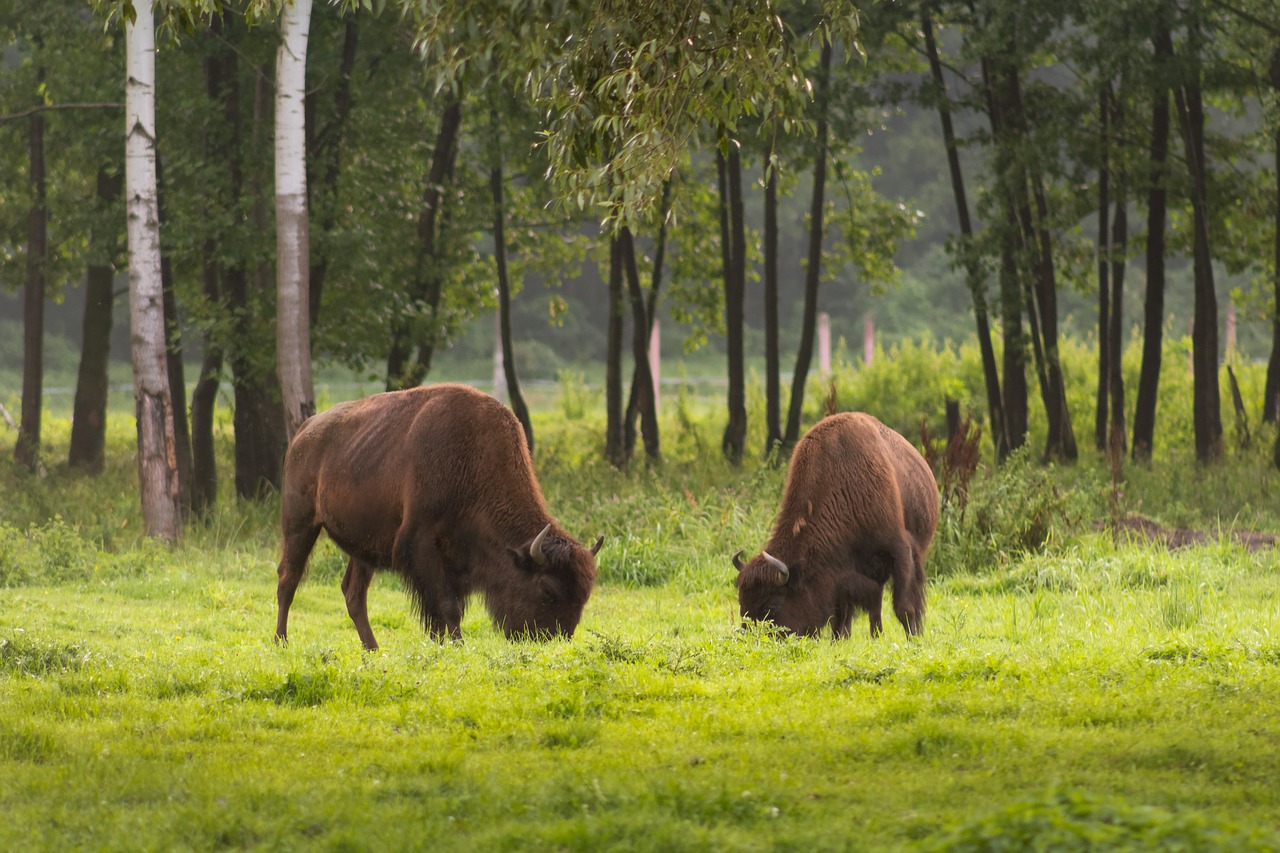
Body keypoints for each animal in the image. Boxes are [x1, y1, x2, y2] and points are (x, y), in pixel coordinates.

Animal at [273, 381, 599, 648]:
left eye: (584, 596)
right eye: (548, 590)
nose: (553, 639)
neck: (474, 460)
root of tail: (304, 431)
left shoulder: (455, 561)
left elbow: (444, 610)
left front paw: (438, 645)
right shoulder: (420, 544)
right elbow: (446, 606)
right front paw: (458, 646)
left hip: (364, 545)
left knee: (353, 593)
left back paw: (373, 650)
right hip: (300, 524)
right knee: (288, 578)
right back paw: (282, 641)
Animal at [732, 409, 942, 635]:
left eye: (772, 606)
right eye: (742, 602)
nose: (751, 638)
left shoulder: (899, 550)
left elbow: (904, 606)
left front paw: (914, 637)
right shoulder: (841, 575)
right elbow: (841, 617)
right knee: (874, 608)